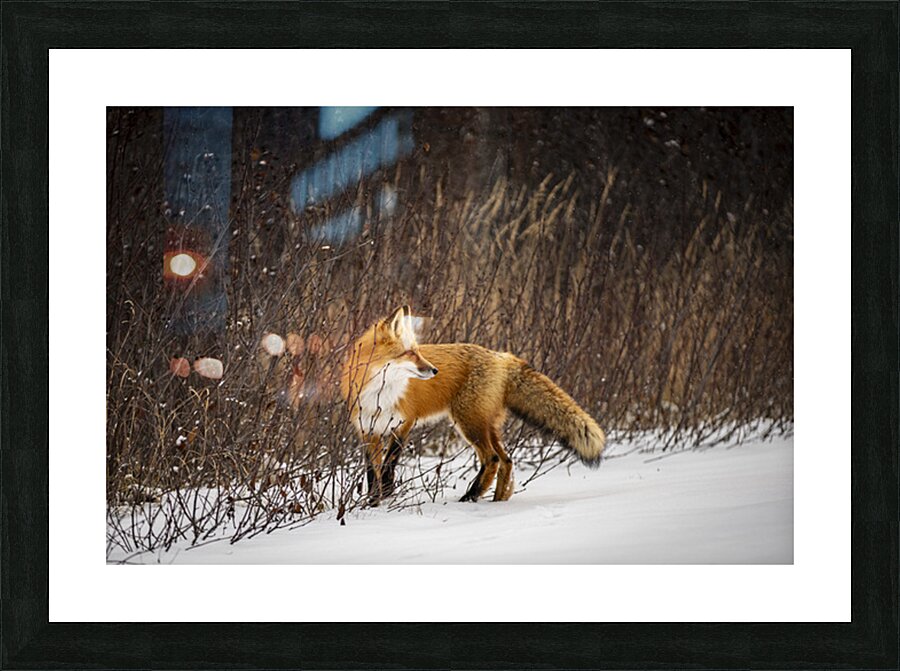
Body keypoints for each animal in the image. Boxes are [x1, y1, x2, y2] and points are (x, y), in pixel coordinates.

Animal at [341, 305, 606, 504]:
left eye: (417, 350)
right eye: (410, 353)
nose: (435, 370)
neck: (380, 393)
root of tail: (502, 356)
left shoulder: (404, 424)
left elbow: (389, 465)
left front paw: (385, 496)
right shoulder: (367, 429)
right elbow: (371, 472)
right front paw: (372, 502)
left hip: (469, 422)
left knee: (492, 459)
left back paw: (470, 497)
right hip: (485, 424)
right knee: (506, 460)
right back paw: (497, 500)